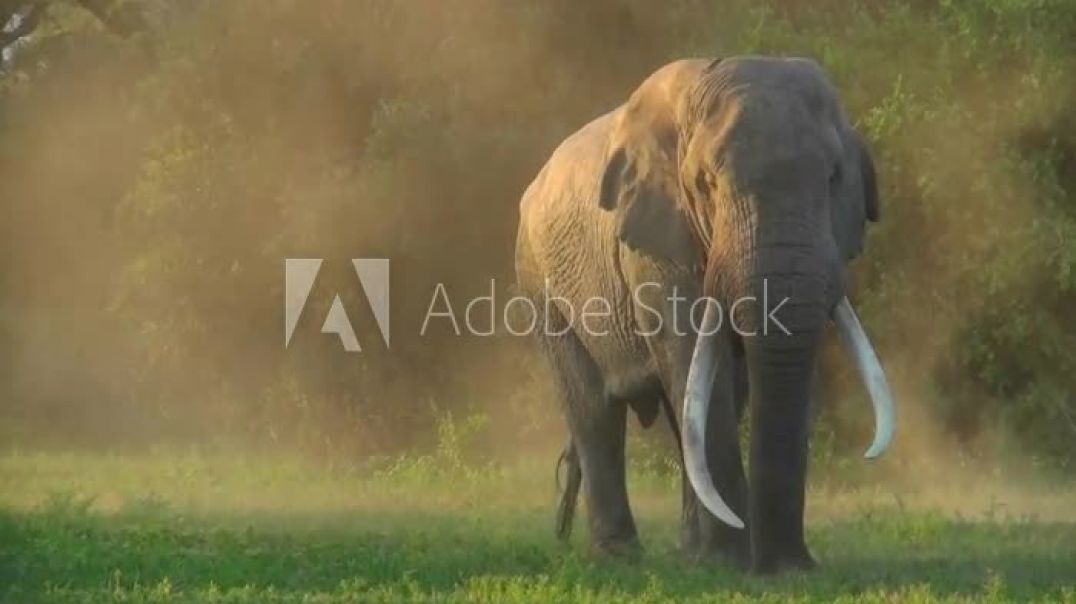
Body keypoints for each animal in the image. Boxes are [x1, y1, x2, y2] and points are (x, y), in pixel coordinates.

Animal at [516, 54, 895, 572]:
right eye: (707, 185)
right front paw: (729, 563)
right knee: (595, 411)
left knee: (680, 419)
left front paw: (754, 564)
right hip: (540, 284)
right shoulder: (657, 243)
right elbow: (696, 364)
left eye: (834, 178)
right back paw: (620, 554)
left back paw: (687, 549)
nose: (781, 566)